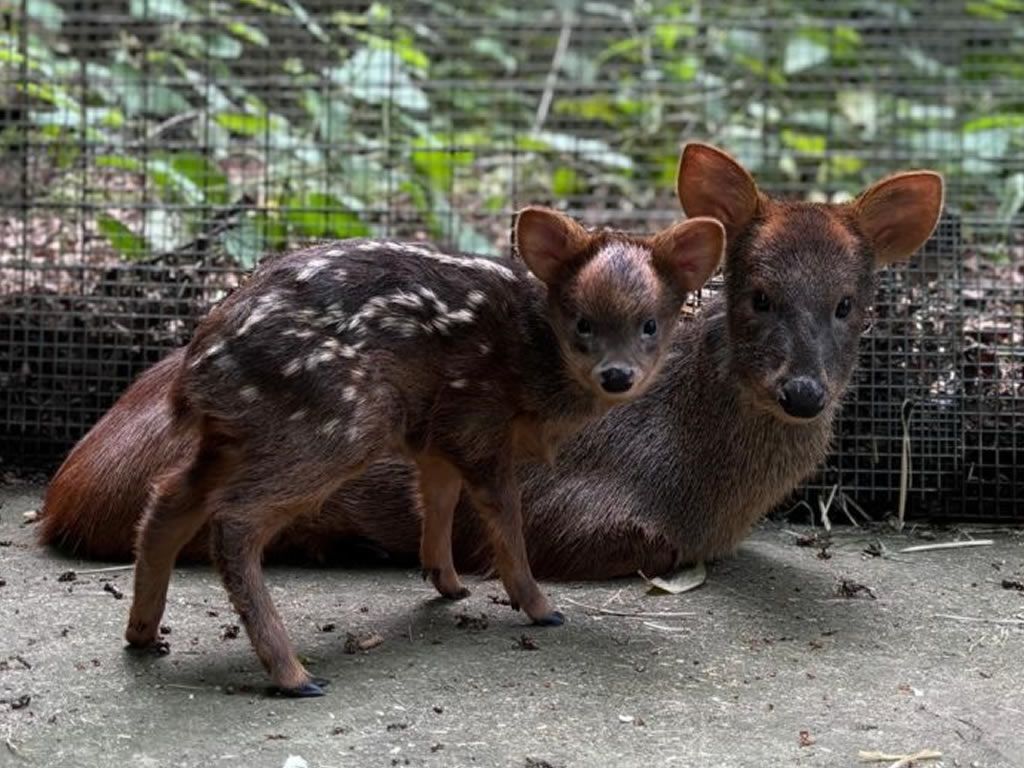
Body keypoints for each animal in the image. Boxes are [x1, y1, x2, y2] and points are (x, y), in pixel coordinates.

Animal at [39, 143, 942, 577]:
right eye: (755, 293)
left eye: (850, 303)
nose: (803, 391)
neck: (704, 493)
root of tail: (60, 492)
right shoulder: (569, 508)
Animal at [123, 205, 724, 696]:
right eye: (582, 323)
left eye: (650, 324)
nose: (617, 375)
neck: (533, 362)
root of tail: (197, 373)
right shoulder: (479, 423)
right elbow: (506, 520)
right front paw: (538, 607)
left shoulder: (438, 434)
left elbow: (437, 500)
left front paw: (448, 584)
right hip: (335, 422)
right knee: (234, 521)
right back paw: (294, 675)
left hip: (240, 435)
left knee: (170, 498)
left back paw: (143, 634)